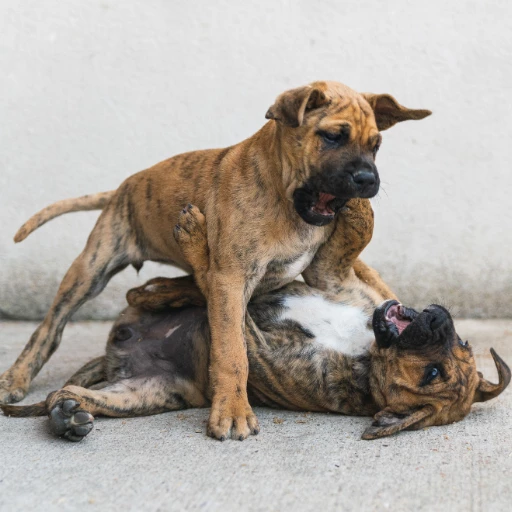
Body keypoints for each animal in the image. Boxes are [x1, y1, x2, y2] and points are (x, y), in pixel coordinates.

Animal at [1, 80, 432, 440]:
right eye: (331, 136)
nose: (368, 180)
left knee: (156, 290)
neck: (284, 197)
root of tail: (124, 186)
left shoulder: (307, 268)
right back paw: (17, 378)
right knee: (50, 329)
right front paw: (233, 410)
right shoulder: (231, 279)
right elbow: (231, 351)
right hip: (92, 267)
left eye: (376, 145)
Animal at [4, 202, 508, 442]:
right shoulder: (337, 278)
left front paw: (194, 242)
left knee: (66, 394)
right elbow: (351, 245)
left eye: (433, 374)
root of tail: (116, 355)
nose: (441, 322)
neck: (364, 348)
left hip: (140, 394)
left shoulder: (255, 340)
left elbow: (213, 285)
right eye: (463, 345)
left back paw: (67, 418)